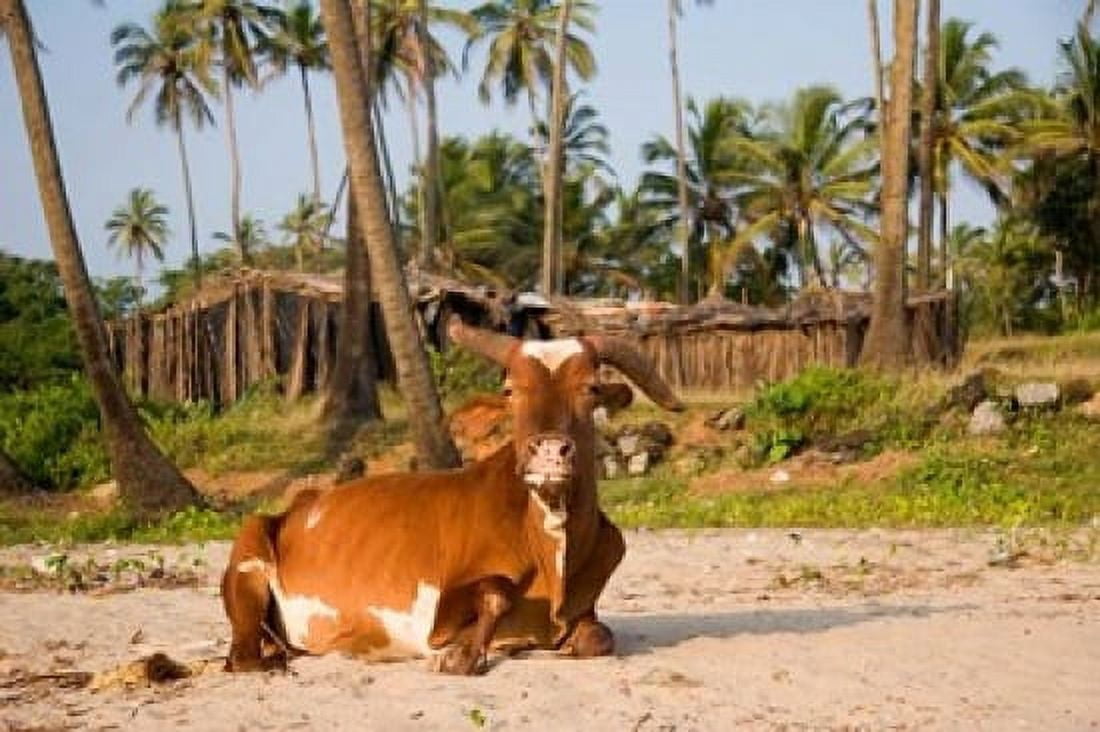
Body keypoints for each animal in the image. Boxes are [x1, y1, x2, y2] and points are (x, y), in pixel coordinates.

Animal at [221, 317, 684, 675]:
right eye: (511, 391)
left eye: (590, 389)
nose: (550, 451)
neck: (549, 543)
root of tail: (298, 505)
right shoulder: (439, 612)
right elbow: (494, 594)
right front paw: (462, 654)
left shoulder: (586, 610)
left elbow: (598, 639)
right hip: (249, 558)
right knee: (242, 657)